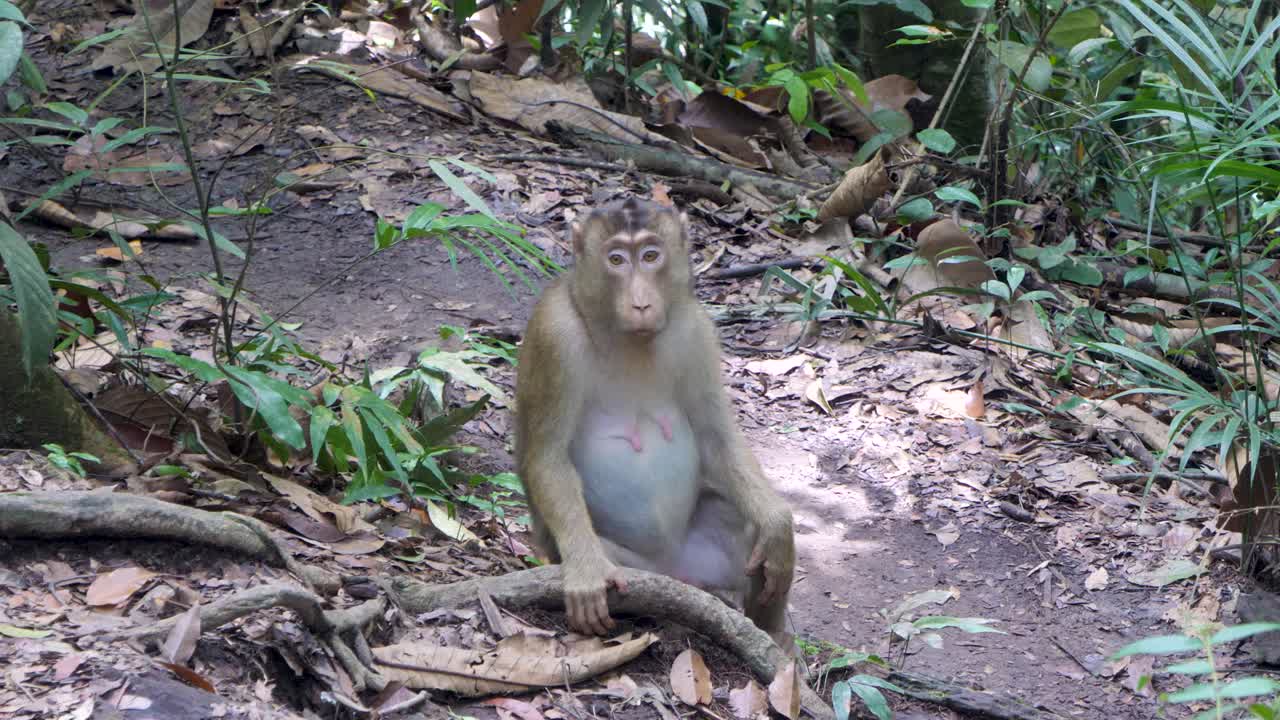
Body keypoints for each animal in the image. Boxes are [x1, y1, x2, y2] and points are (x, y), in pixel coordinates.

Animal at [514, 197, 795, 641]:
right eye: (616, 259)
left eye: (650, 256)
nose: (641, 302)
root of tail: (674, 571)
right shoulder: (553, 334)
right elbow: (548, 456)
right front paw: (586, 571)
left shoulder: (696, 330)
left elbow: (716, 436)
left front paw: (779, 523)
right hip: (635, 570)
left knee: (751, 531)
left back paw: (773, 633)